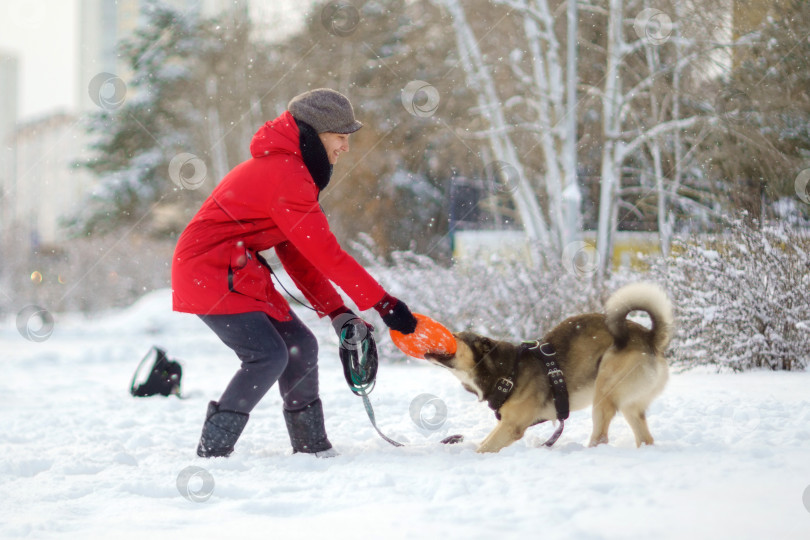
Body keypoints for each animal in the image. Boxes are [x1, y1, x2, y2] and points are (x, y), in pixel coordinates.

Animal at [420, 280, 672, 454]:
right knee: (645, 438)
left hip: (605, 388)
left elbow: (483, 449)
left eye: (455, 336)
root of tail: (650, 338)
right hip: (630, 404)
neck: (507, 373)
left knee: (601, 436)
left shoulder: (511, 426)